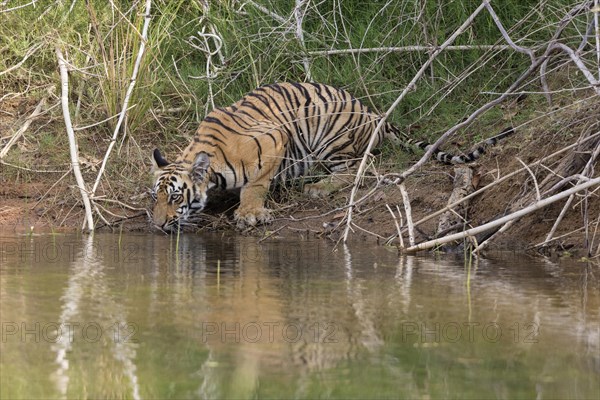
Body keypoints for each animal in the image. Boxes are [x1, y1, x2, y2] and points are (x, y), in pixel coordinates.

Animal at [151, 81, 516, 231]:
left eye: (175, 197)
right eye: (155, 198)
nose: (156, 224)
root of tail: (374, 112)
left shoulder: (273, 141)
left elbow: (256, 184)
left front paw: (250, 214)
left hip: (329, 134)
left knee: (362, 166)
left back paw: (317, 187)